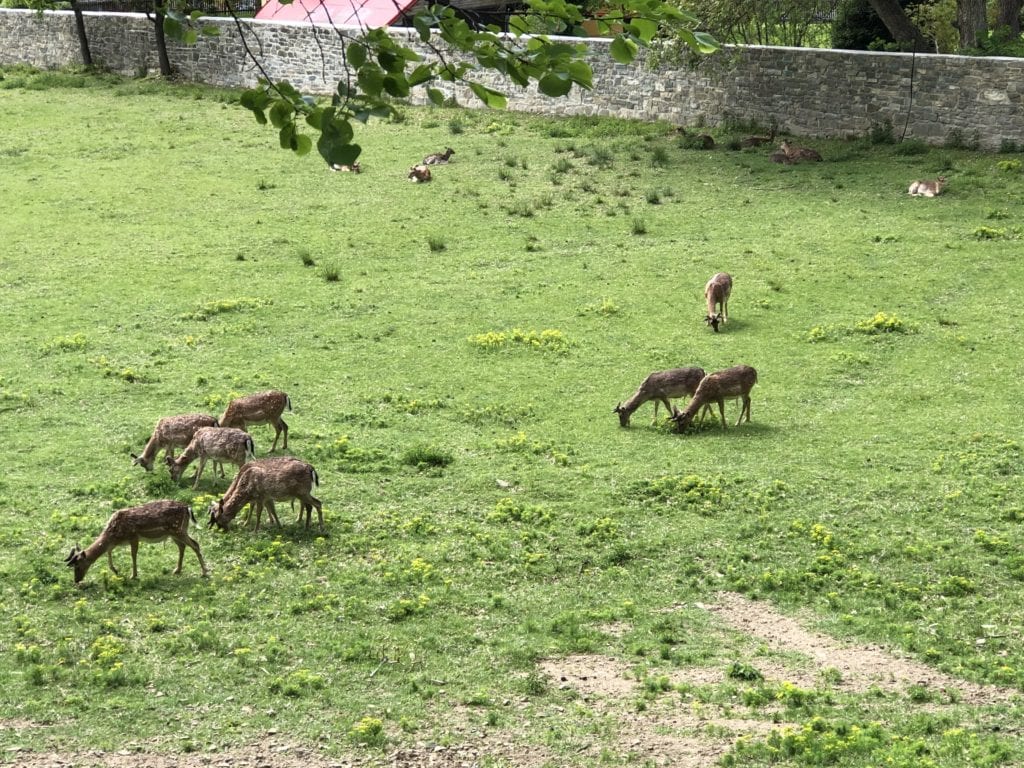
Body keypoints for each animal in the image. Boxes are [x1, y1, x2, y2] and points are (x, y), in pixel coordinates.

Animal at [64, 501, 209, 585]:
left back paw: (204, 572)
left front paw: (133, 575)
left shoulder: (133, 536)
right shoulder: (116, 542)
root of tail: (188, 508)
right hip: (175, 532)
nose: (76, 580)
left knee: (195, 544)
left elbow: (133, 555)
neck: (114, 534)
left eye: (78, 566)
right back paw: (177, 570)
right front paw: (116, 570)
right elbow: (109, 552)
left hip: (177, 529)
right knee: (183, 546)